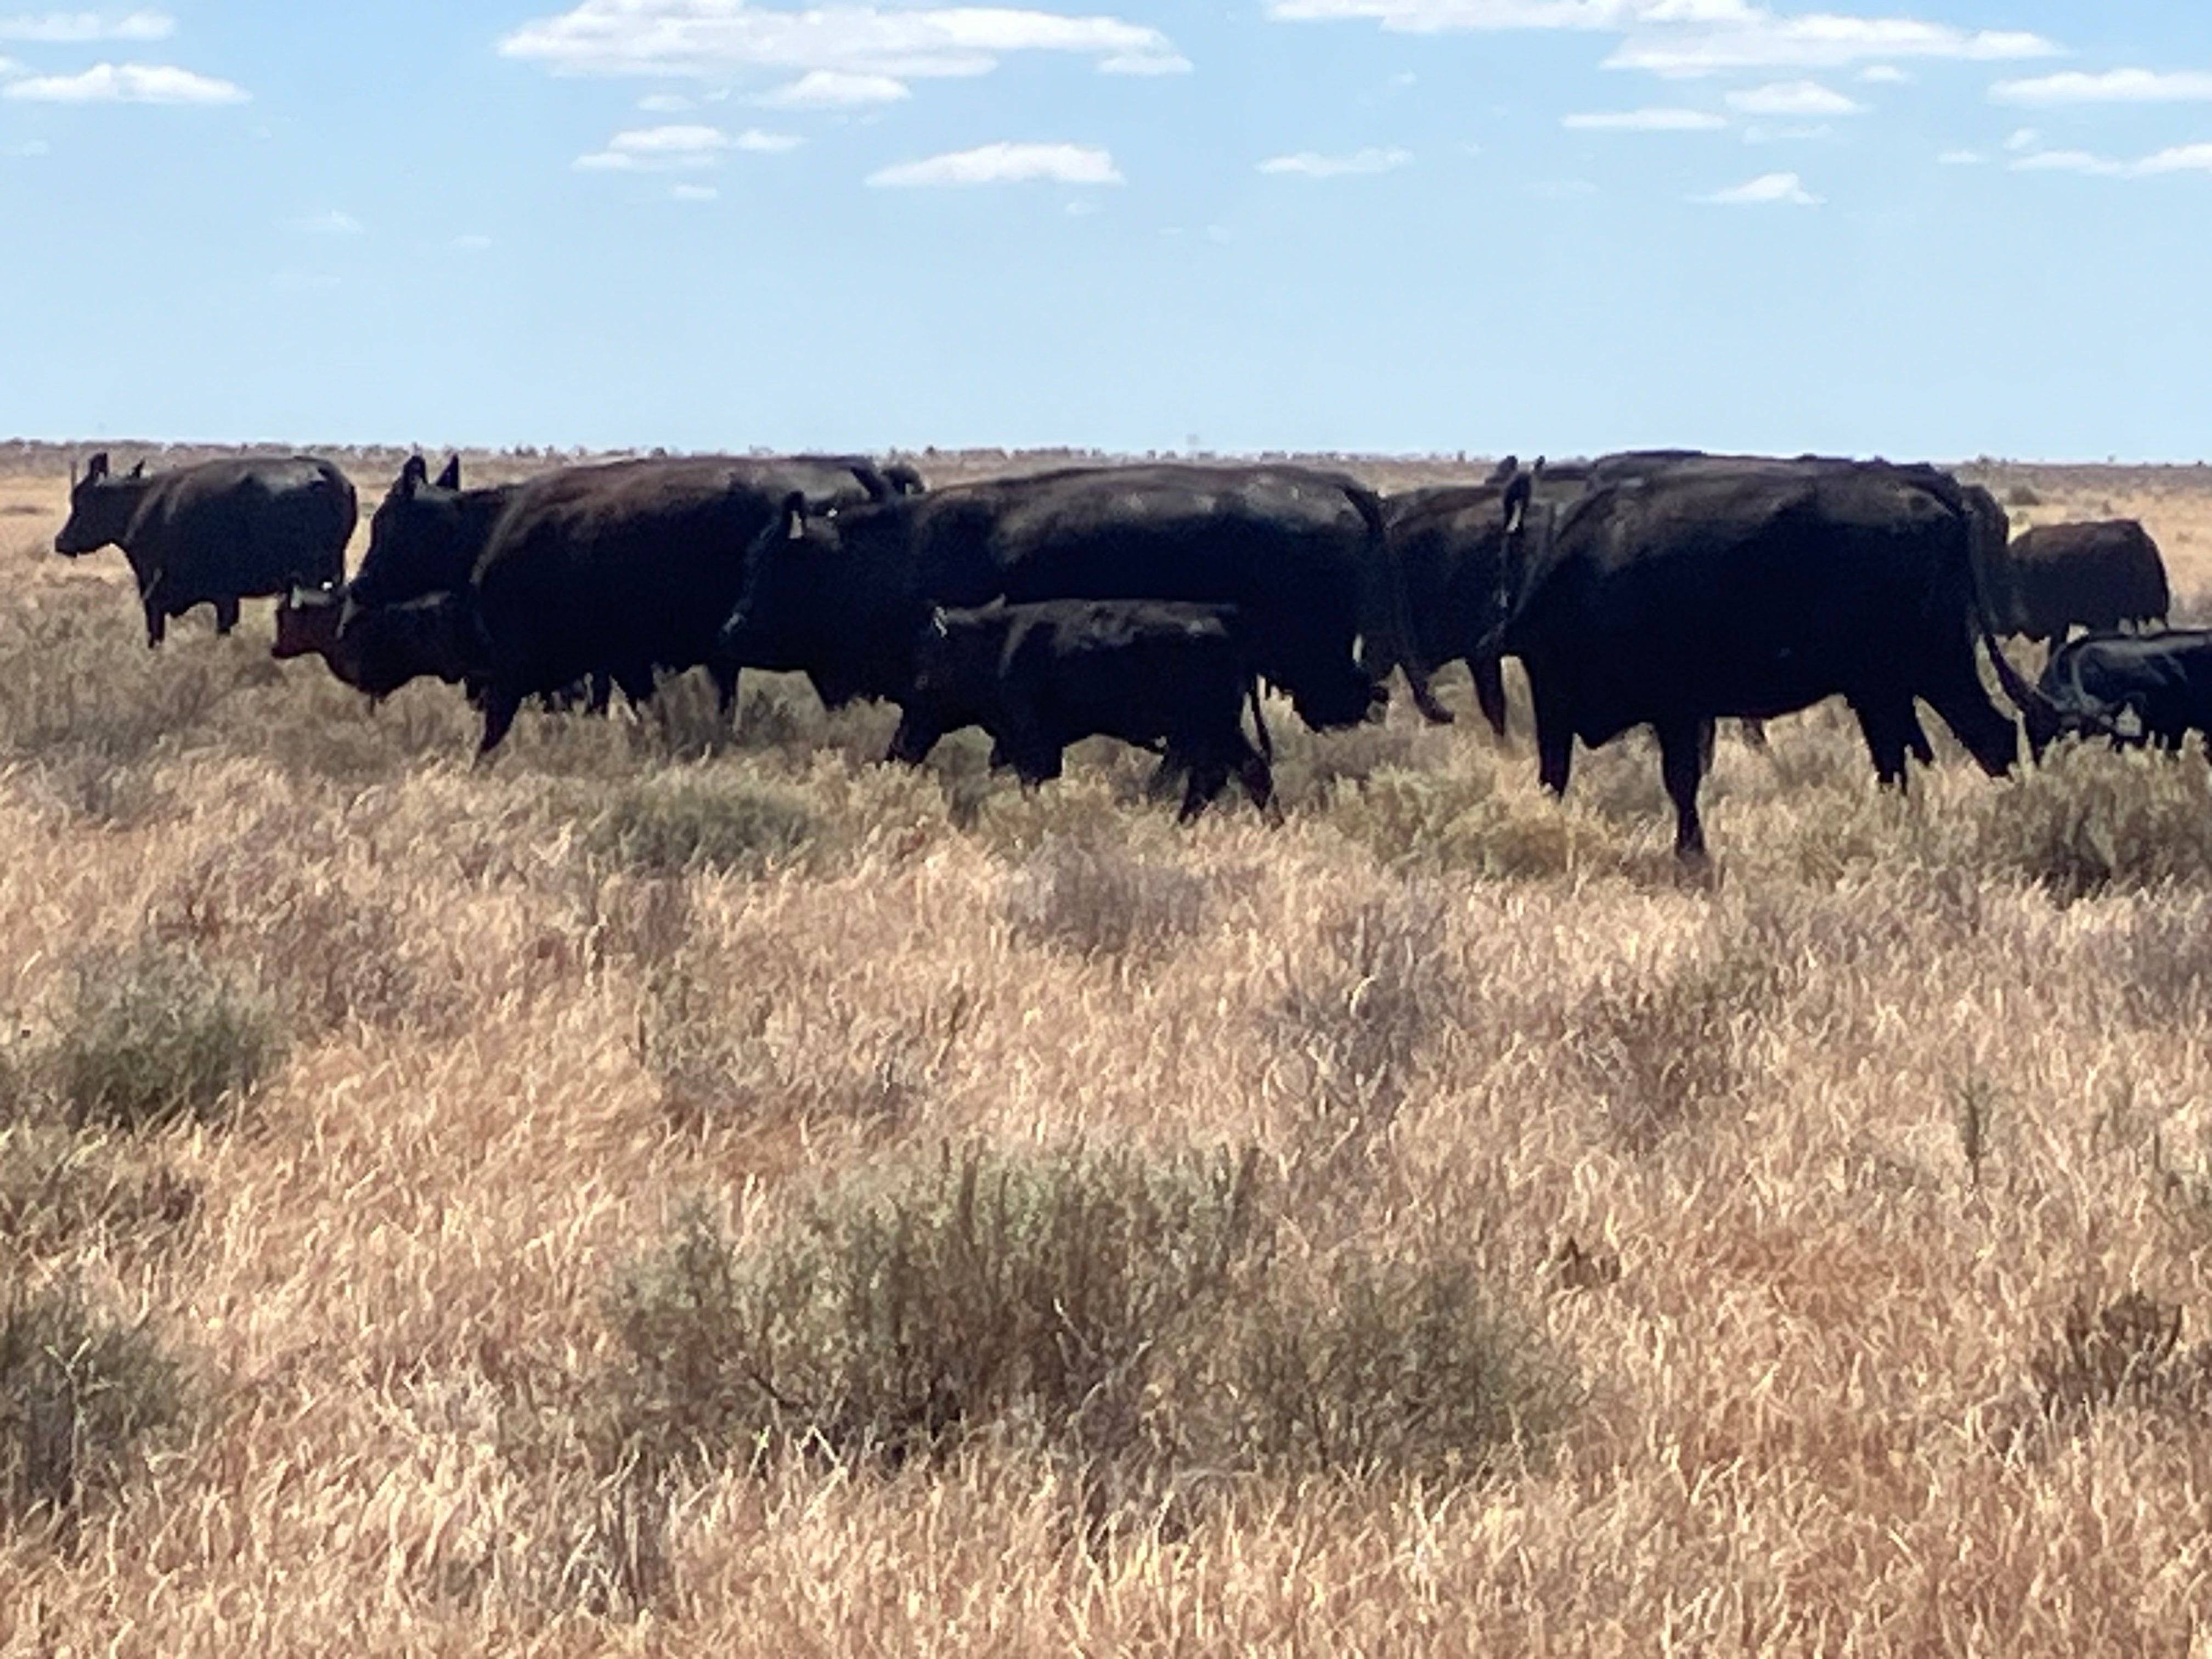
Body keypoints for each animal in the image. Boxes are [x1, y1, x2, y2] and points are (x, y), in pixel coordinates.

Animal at [55, 452, 355, 646]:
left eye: (82, 501)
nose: (61, 541)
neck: (139, 504)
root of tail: (325, 474)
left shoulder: (158, 594)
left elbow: (158, 636)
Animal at [885, 599, 1274, 821]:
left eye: (923, 679)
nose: (899, 748)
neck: (994, 643)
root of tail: (1228, 628)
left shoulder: (1031, 744)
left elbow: (1032, 780)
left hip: (1209, 727)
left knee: (1224, 774)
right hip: (1212, 730)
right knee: (1241, 772)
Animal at [1485, 454, 2054, 861]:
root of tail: (1934, 497)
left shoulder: (1672, 709)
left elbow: (1678, 779)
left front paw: (1691, 853)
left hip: (1927, 670)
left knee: (1989, 737)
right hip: (1890, 686)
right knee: (1912, 755)